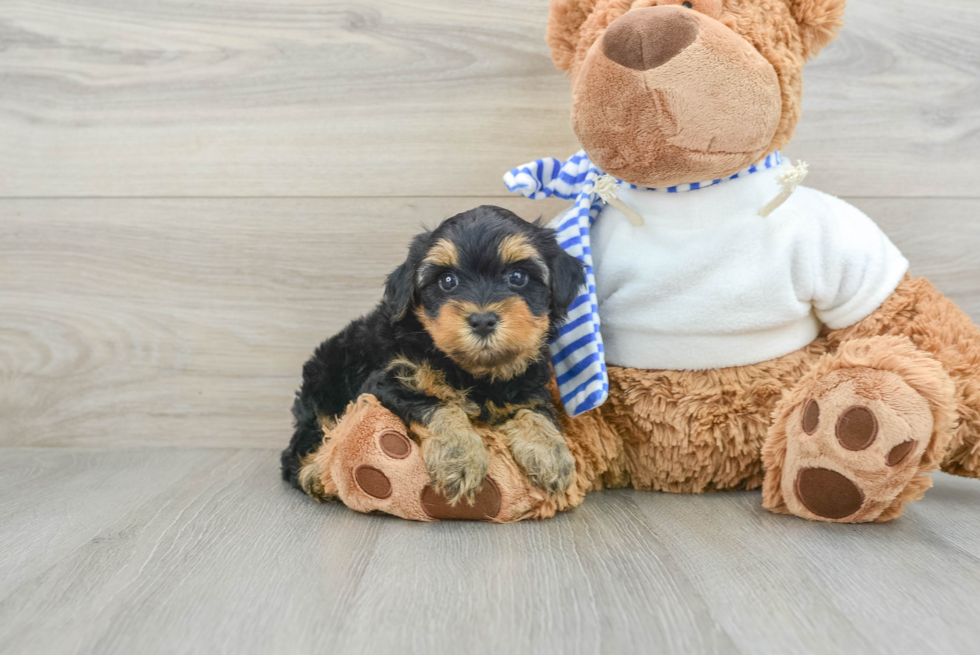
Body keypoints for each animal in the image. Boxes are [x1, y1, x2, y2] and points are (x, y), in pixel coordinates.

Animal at [280, 208, 584, 504]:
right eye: (447, 281)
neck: (472, 371)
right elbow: (438, 405)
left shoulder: (528, 386)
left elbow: (535, 410)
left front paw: (551, 453)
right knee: (299, 448)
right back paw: (314, 474)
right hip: (324, 391)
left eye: (518, 277)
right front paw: (460, 458)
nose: (482, 320)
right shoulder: (387, 380)